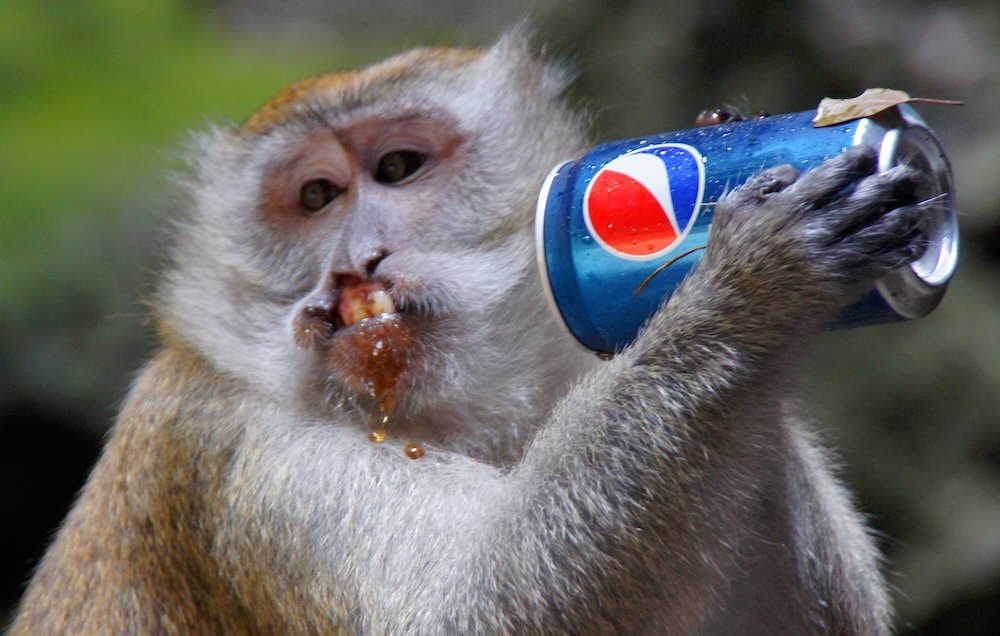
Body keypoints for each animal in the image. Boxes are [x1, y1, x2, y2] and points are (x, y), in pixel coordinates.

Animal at [9, 32, 928, 632]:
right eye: (316, 198)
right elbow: (469, 614)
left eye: (397, 168)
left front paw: (728, 136)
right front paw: (755, 287)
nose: (354, 264)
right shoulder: (228, 449)